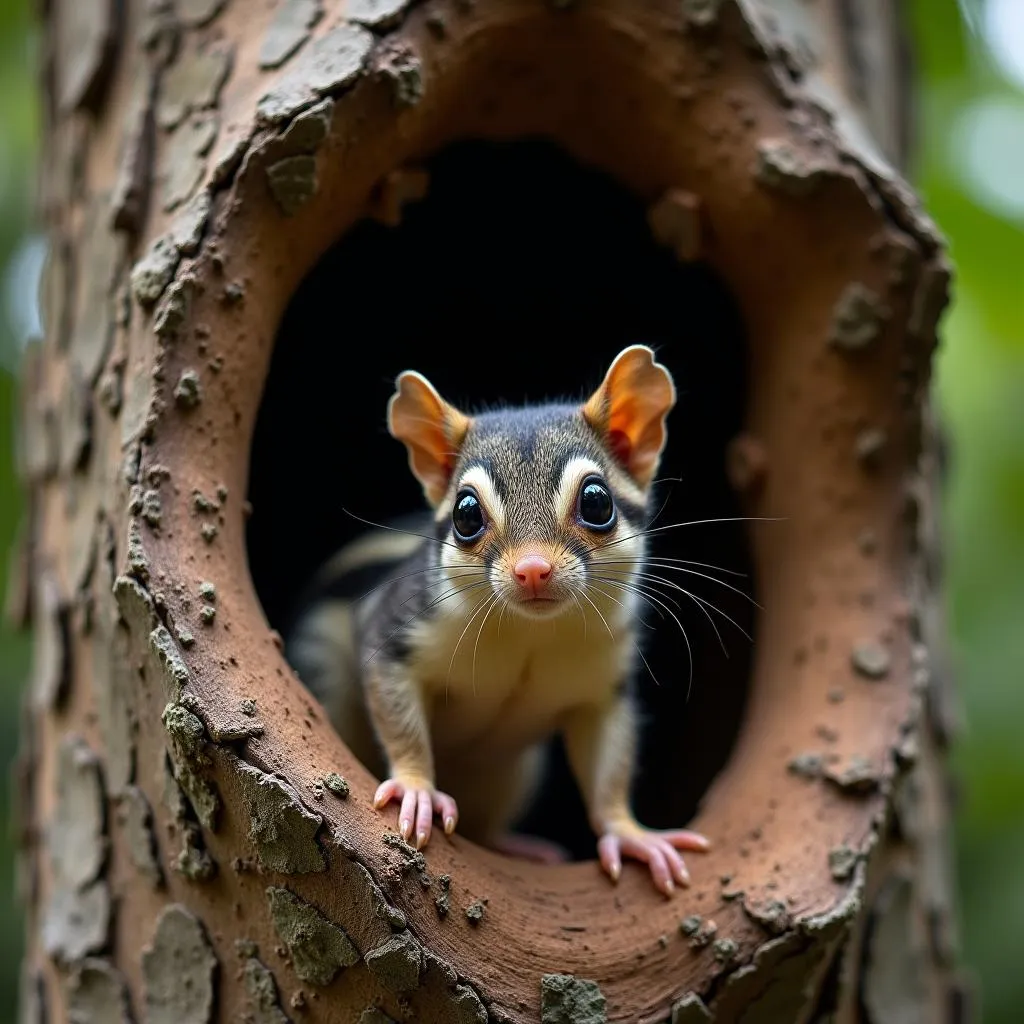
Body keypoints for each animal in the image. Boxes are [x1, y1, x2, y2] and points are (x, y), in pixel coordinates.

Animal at [284, 346, 708, 897]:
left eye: (597, 502)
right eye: (466, 514)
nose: (532, 569)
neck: (532, 634)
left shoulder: (602, 687)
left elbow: (608, 768)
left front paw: (631, 834)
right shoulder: (394, 634)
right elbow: (402, 724)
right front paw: (417, 788)